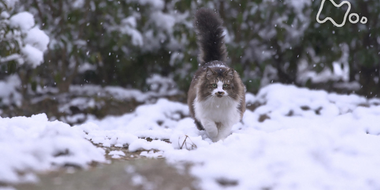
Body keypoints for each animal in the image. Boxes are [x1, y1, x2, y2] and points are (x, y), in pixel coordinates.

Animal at [188, 8, 246, 142]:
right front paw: (213, 137)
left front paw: (218, 141)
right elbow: (210, 126)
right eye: (214, 85)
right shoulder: (202, 113)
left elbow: (222, 131)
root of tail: (214, 60)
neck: (218, 104)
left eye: (225, 86)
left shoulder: (229, 117)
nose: (220, 92)